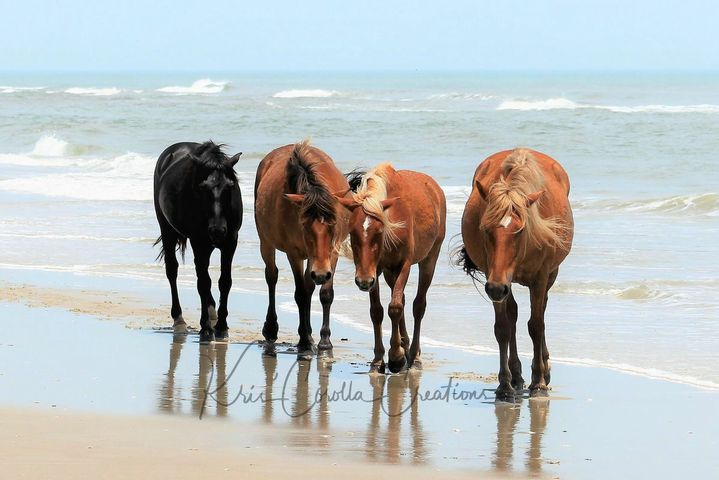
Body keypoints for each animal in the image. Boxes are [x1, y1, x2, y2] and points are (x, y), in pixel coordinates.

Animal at [153, 141, 243, 344]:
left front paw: (222, 327)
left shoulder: (230, 242)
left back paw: (212, 312)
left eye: (230, 186)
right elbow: (203, 283)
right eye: (203, 187)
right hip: (167, 229)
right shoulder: (198, 242)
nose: (217, 230)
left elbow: (224, 281)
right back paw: (179, 320)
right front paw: (206, 330)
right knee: (172, 270)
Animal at [255, 139, 352, 356]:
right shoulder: (295, 253)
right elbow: (300, 294)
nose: (321, 274)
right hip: (266, 242)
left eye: (333, 226)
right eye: (304, 225)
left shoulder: (331, 254)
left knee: (309, 288)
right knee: (272, 276)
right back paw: (272, 329)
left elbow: (324, 294)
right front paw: (305, 342)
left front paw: (324, 341)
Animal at [336, 163, 444, 374]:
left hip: (429, 259)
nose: (363, 281)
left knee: (418, 305)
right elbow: (377, 311)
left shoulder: (403, 265)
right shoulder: (375, 270)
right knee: (401, 298)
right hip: (388, 272)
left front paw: (396, 357)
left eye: (379, 232)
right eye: (352, 232)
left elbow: (395, 307)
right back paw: (406, 346)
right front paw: (379, 359)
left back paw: (414, 356)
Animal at [458, 148, 576, 400]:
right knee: (512, 315)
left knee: (541, 313)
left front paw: (539, 382)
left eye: (520, 230)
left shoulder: (540, 277)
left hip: (546, 276)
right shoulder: (496, 277)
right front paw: (504, 385)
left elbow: (536, 325)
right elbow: (503, 327)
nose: (495, 288)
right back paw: (517, 375)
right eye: (485, 229)